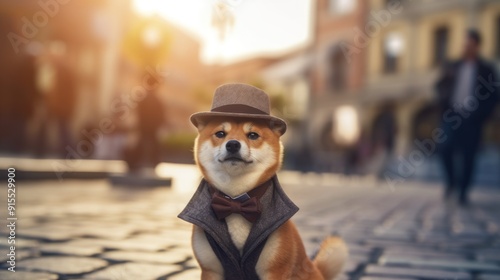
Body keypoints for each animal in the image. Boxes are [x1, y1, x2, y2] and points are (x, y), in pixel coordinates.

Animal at [180, 83, 348, 280]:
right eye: (220, 133)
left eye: (253, 135)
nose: (233, 144)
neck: (236, 201)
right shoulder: (210, 270)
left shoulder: (275, 270)